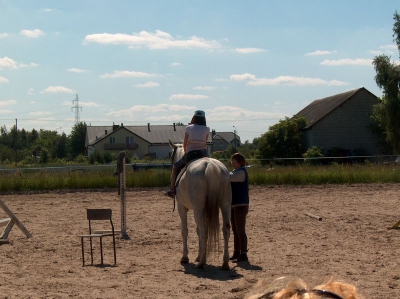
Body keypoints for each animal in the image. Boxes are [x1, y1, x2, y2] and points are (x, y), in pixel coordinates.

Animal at [169, 141, 231, 272]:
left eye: (171, 155)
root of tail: (211, 166)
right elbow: (197, 231)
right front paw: (197, 255)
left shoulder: (182, 208)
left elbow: (185, 230)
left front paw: (185, 257)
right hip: (225, 205)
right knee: (226, 229)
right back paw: (225, 263)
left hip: (198, 209)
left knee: (204, 230)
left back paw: (202, 263)